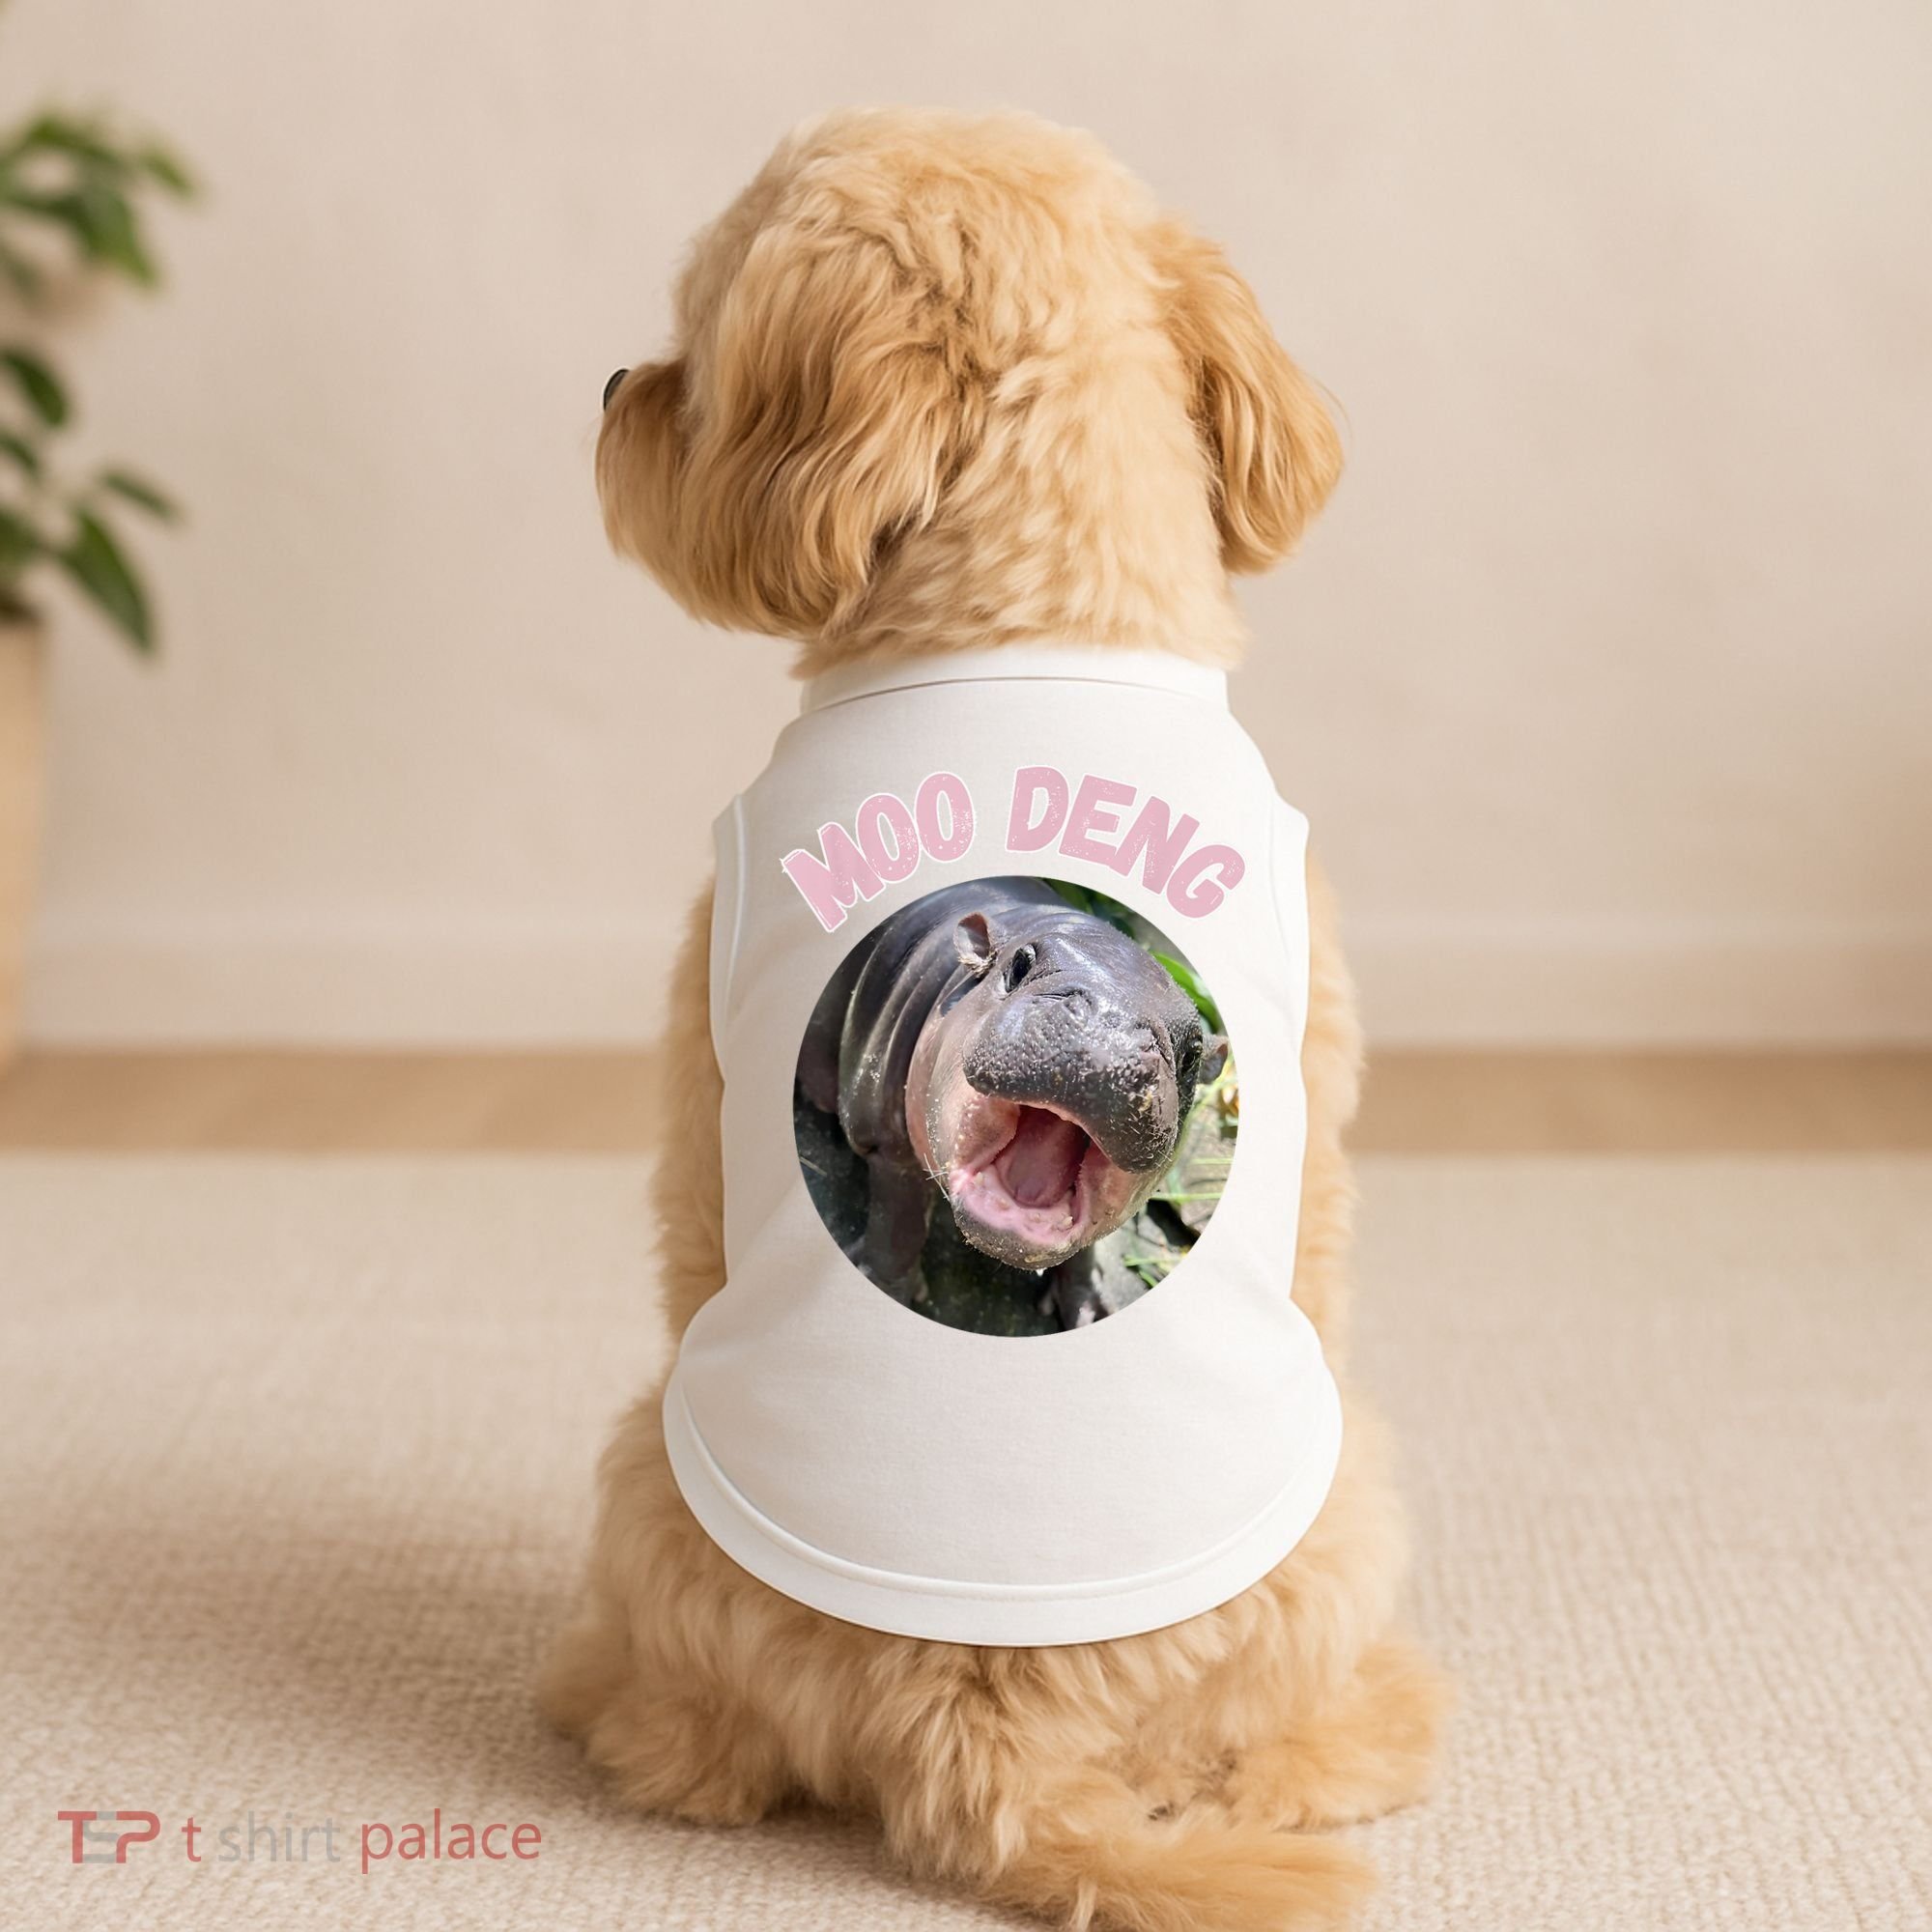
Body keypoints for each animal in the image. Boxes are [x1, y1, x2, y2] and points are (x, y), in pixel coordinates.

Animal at [797, 878, 1227, 1329]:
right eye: (1020, 964)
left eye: (1194, 1054)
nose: (1108, 1028)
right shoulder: (887, 1143)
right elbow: (897, 1223)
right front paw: (887, 1291)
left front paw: (1090, 1313)